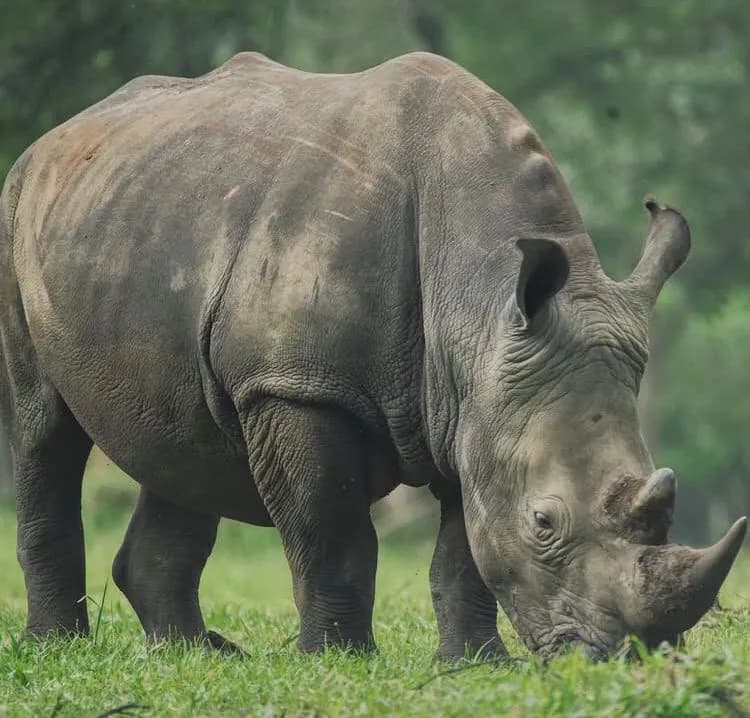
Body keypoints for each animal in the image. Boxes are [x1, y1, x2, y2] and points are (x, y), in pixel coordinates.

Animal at [0, 51, 746, 660]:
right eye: (544, 522)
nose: (628, 657)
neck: (478, 297)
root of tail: (57, 136)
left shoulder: (475, 401)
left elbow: (465, 548)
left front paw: (476, 664)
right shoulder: (296, 383)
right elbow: (332, 531)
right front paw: (338, 658)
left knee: (184, 437)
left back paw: (197, 654)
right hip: (17, 208)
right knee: (44, 428)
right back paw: (60, 647)